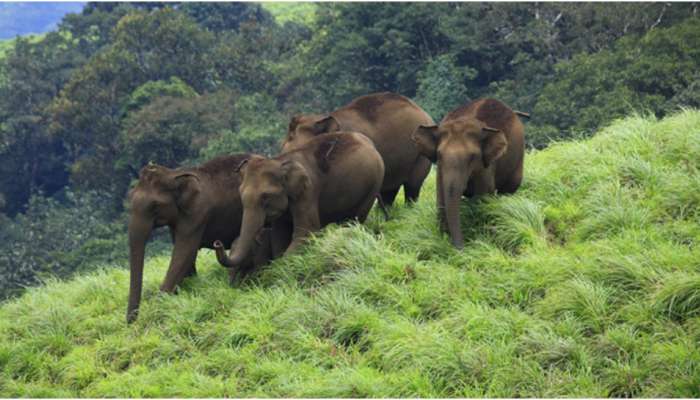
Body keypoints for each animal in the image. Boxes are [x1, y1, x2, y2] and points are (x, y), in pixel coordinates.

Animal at [126, 155, 270, 324]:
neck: (174, 174)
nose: (131, 322)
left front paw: (158, 308)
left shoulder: (197, 213)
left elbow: (184, 253)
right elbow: (186, 257)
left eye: (155, 206)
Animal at [216, 132, 386, 268]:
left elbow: (306, 231)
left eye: (265, 196)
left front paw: (282, 267)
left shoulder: (307, 192)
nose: (217, 243)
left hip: (373, 184)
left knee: (356, 218)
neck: (280, 161)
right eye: (241, 195)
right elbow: (279, 235)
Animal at [410, 98, 524, 248]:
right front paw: (443, 239)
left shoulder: (486, 166)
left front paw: (480, 237)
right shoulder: (441, 168)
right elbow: (441, 194)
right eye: (439, 154)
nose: (461, 247)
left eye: (472, 157)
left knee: (507, 191)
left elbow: (483, 196)